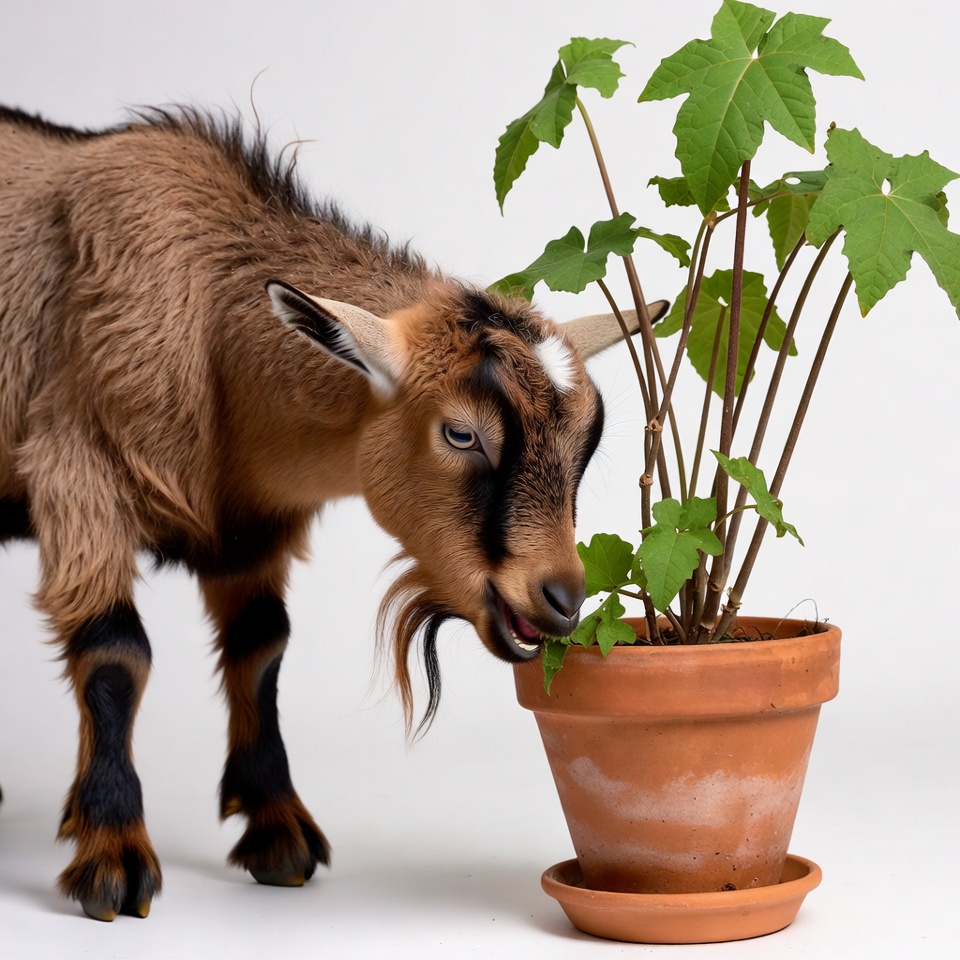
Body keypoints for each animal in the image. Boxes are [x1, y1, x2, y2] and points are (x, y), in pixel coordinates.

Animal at [0, 104, 665, 921]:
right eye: (461, 433)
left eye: (585, 443)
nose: (563, 598)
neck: (210, 332)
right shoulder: (78, 474)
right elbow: (115, 653)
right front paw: (113, 853)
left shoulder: (249, 524)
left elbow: (261, 649)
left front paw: (277, 832)